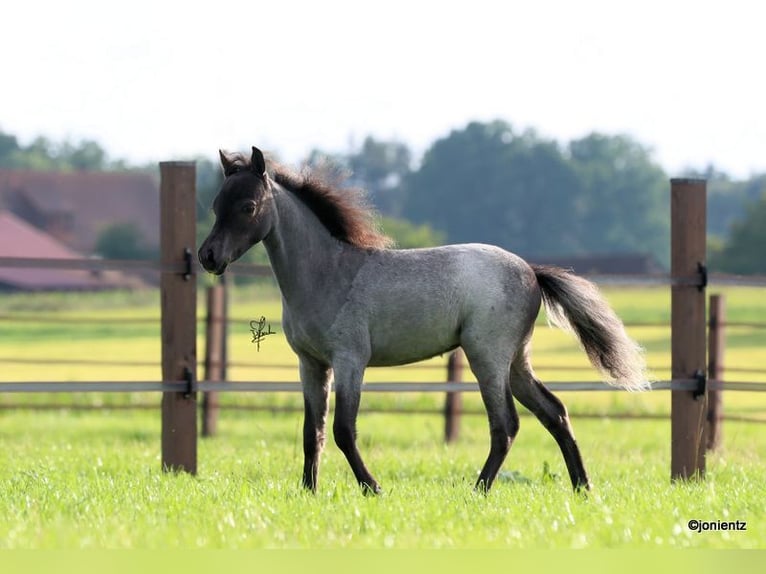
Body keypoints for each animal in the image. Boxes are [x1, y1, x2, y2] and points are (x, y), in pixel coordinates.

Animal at [198, 146, 648, 498]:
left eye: (248, 207)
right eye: (216, 206)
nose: (208, 256)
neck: (328, 273)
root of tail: (532, 272)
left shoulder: (350, 360)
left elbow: (343, 429)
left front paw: (373, 488)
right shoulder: (310, 364)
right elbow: (314, 432)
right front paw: (309, 491)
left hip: (487, 357)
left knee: (505, 424)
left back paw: (478, 491)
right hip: (515, 362)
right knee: (554, 412)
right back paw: (582, 488)